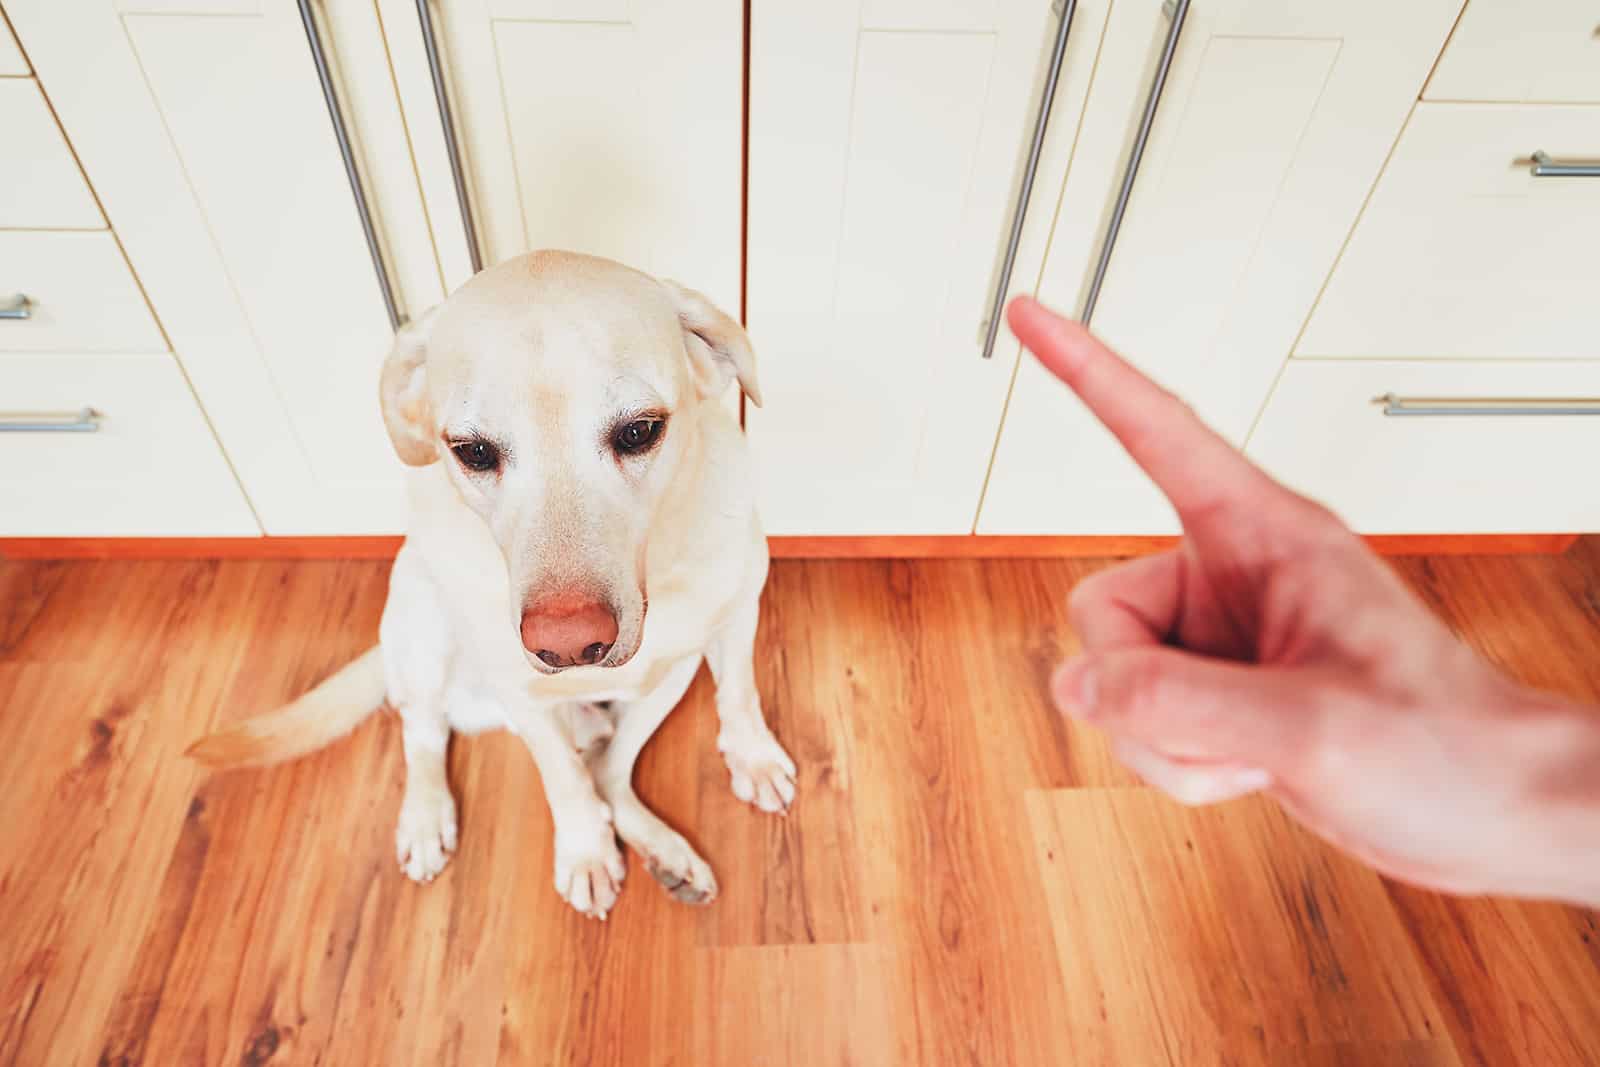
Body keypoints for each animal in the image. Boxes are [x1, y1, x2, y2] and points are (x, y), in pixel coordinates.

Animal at [190, 251, 796, 921]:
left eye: (640, 431)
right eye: (474, 451)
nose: (568, 645)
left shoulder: (731, 621)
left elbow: (737, 693)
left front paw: (753, 756)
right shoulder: (521, 695)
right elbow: (562, 778)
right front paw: (585, 852)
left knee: (607, 767)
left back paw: (664, 851)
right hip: (421, 623)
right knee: (424, 732)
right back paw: (426, 818)